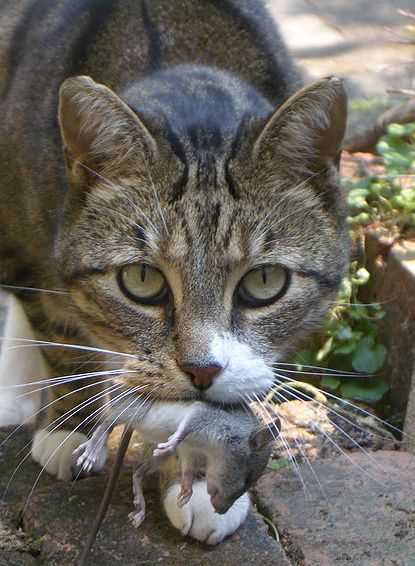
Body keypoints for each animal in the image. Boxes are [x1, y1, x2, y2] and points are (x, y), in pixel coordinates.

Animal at [0, 0, 350, 544]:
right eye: (142, 280)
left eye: (264, 282)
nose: (201, 370)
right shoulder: (22, 241)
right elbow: (59, 334)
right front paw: (68, 427)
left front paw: (203, 479)